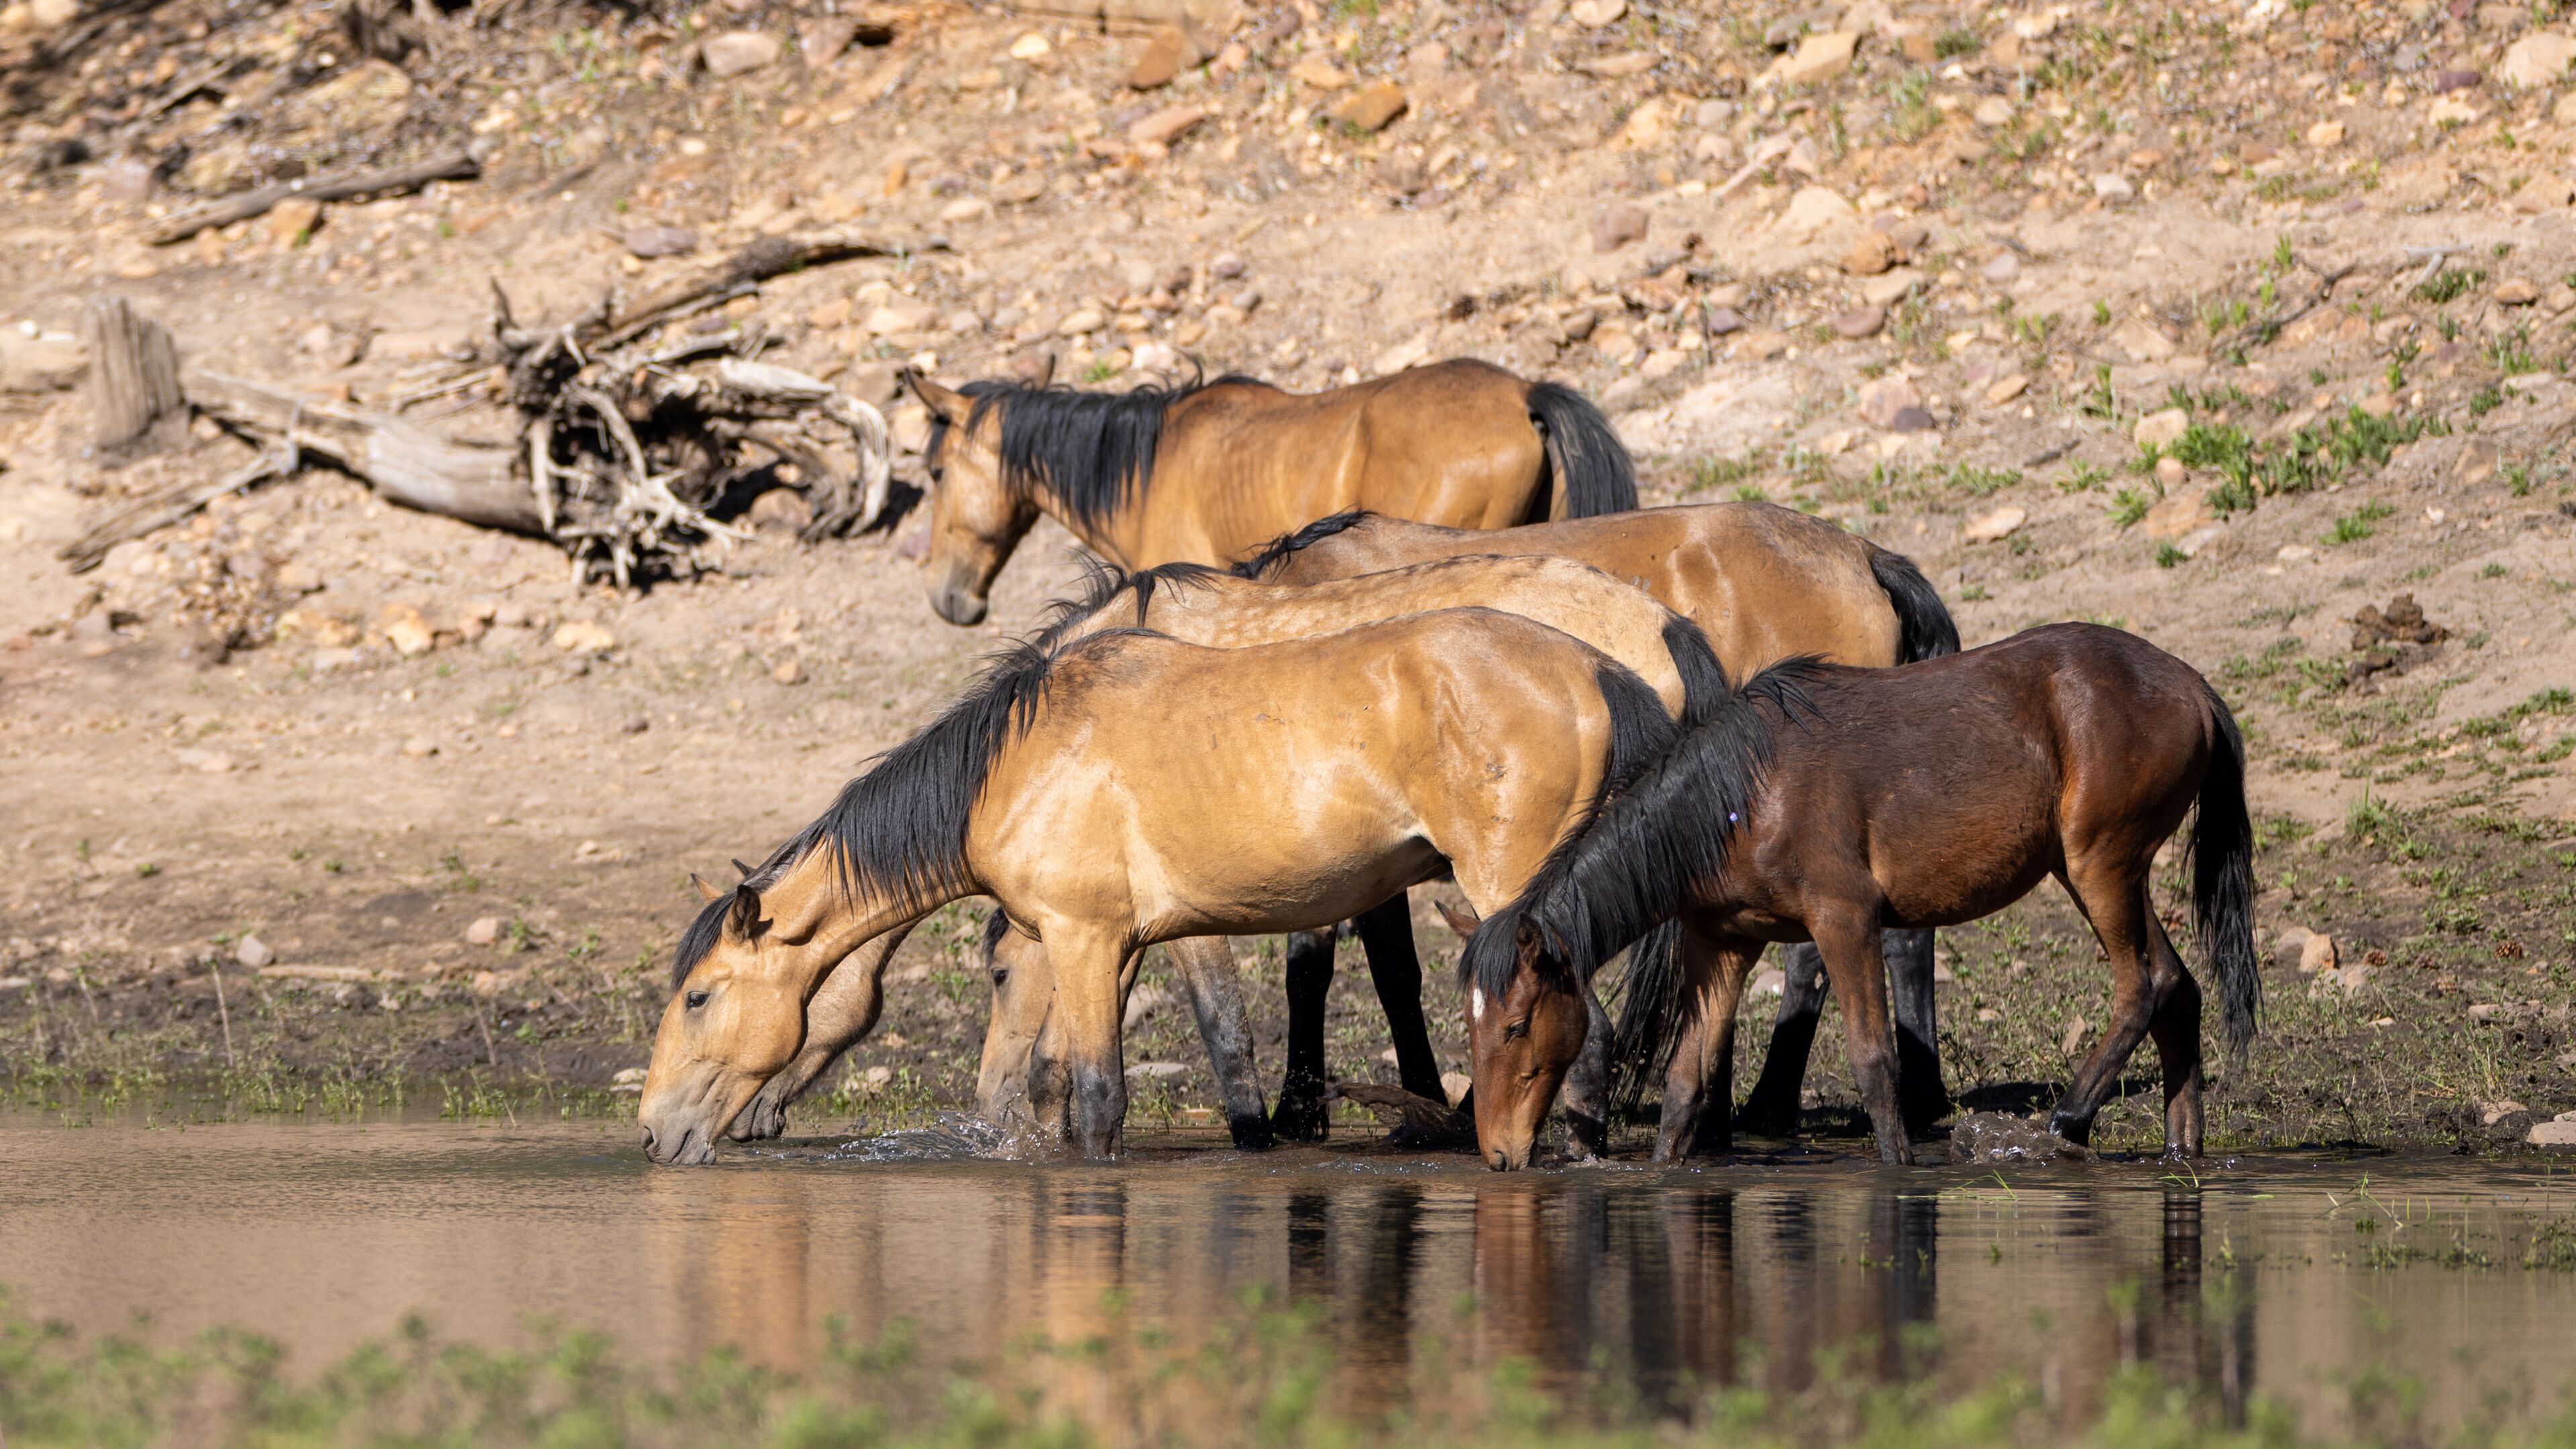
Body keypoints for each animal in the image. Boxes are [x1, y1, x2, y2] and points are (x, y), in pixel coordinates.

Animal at [1451, 623, 2258, 1170]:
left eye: (1517, 1026)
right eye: (1472, 1029)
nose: (1498, 1154)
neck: (1740, 796)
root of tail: (2191, 686)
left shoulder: (1844, 920)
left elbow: (1876, 1064)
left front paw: (1899, 1168)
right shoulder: (1723, 941)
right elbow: (1684, 1086)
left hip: (2102, 866)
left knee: (2142, 987)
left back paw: (2066, 1120)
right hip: (2093, 870)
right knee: (2178, 988)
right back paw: (2181, 1146)